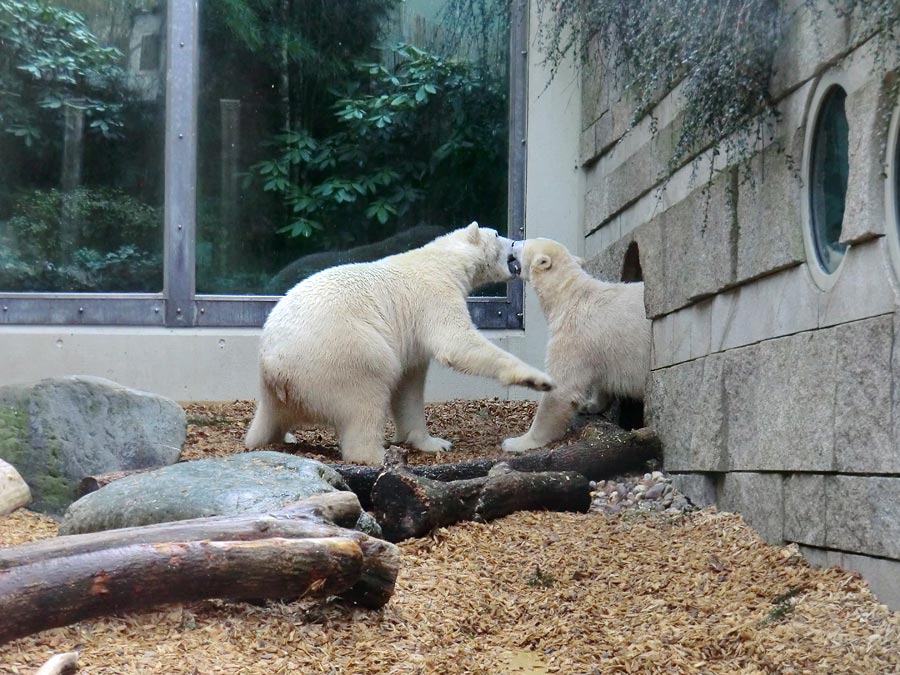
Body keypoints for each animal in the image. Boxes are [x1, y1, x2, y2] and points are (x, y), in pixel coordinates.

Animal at [246, 224, 556, 468]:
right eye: (497, 233)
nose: (516, 241)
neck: (444, 260)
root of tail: (274, 364)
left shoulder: (411, 337)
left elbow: (410, 383)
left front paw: (433, 442)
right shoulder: (434, 294)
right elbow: (456, 342)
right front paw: (539, 379)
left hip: (276, 390)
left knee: (268, 420)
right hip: (343, 352)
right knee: (368, 392)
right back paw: (376, 453)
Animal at [502, 238, 652, 454]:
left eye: (525, 243)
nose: (513, 242)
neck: (568, 295)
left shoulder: (573, 334)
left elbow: (562, 388)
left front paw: (517, 442)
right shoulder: (597, 344)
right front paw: (590, 405)